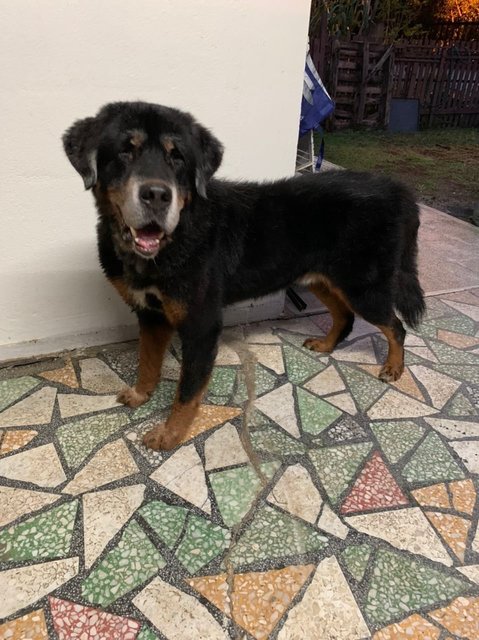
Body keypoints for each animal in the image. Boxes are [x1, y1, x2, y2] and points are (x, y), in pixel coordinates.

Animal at [62, 101, 424, 450]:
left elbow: (186, 392)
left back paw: (393, 367)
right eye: (125, 151)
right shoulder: (151, 314)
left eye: (177, 157)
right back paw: (326, 344)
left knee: (395, 327)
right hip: (321, 278)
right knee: (345, 316)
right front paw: (141, 395)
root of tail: (399, 190)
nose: (157, 195)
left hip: (364, 286)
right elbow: (147, 362)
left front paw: (170, 435)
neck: (176, 236)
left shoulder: (201, 325)